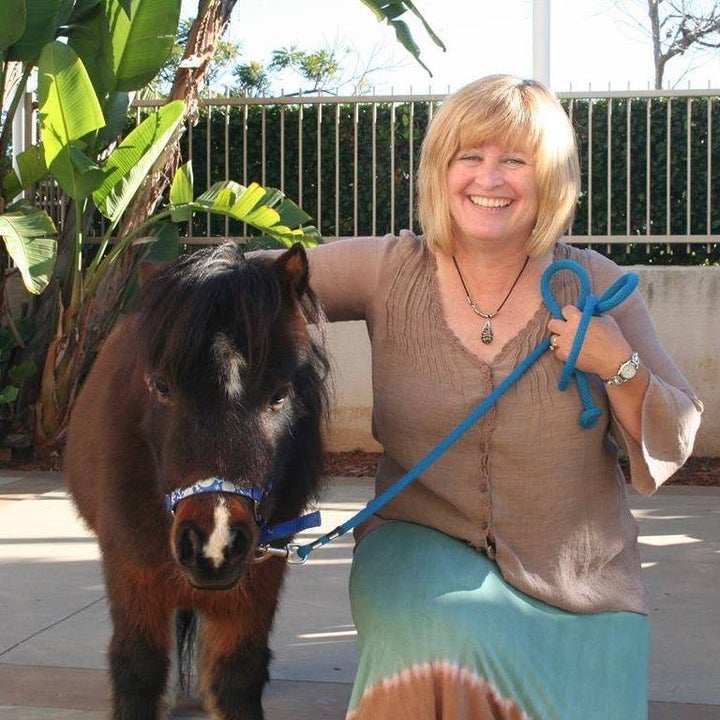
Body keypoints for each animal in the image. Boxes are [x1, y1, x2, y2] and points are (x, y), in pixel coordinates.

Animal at [64, 245, 330, 716]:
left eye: (280, 394)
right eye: (161, 386)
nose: (214, 545)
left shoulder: (256, 586)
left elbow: (237, 674)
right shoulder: (132, 578)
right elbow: (138, 669)